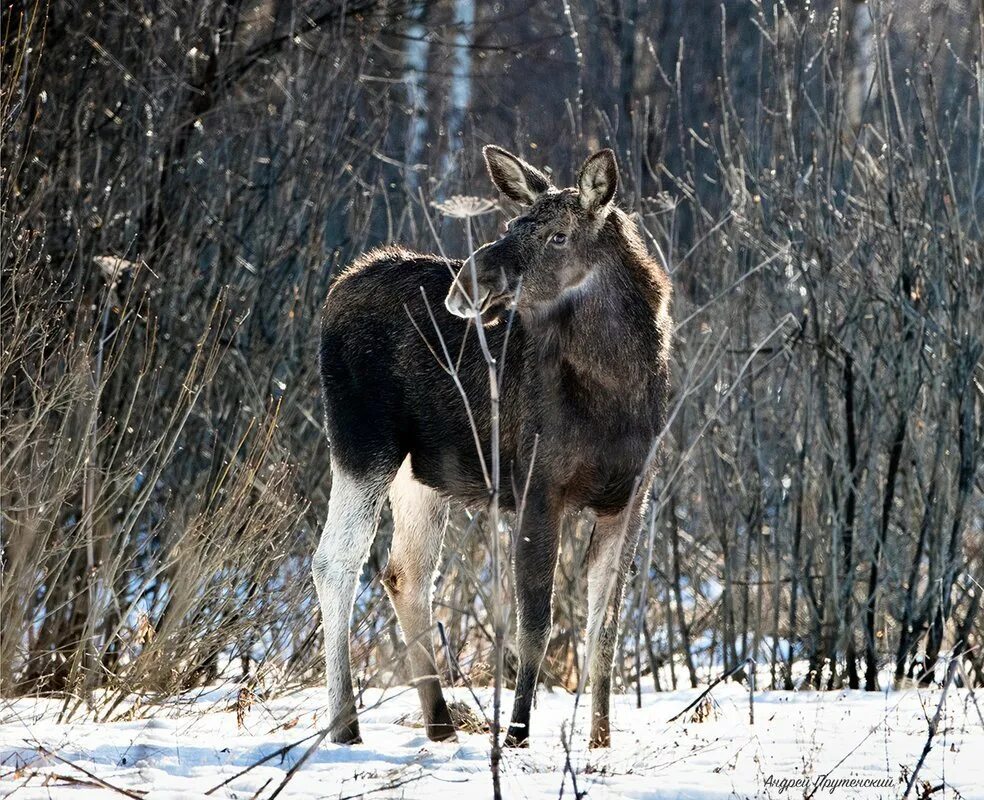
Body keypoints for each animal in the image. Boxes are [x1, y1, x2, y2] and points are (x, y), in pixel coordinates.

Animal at [320, 145, 672, 752]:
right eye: (511, 225)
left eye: (558, 236)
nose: (467, 283)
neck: (617, 392)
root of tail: (337, 289)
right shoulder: (538, 485)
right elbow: (535, 622)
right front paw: (517, 734)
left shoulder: (631, 496)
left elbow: (605, 628)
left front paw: (601, 740)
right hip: (362, 444)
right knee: (335, 562)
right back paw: (346, 724)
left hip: (421, 473)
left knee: (405, 572)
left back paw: (439, 724)